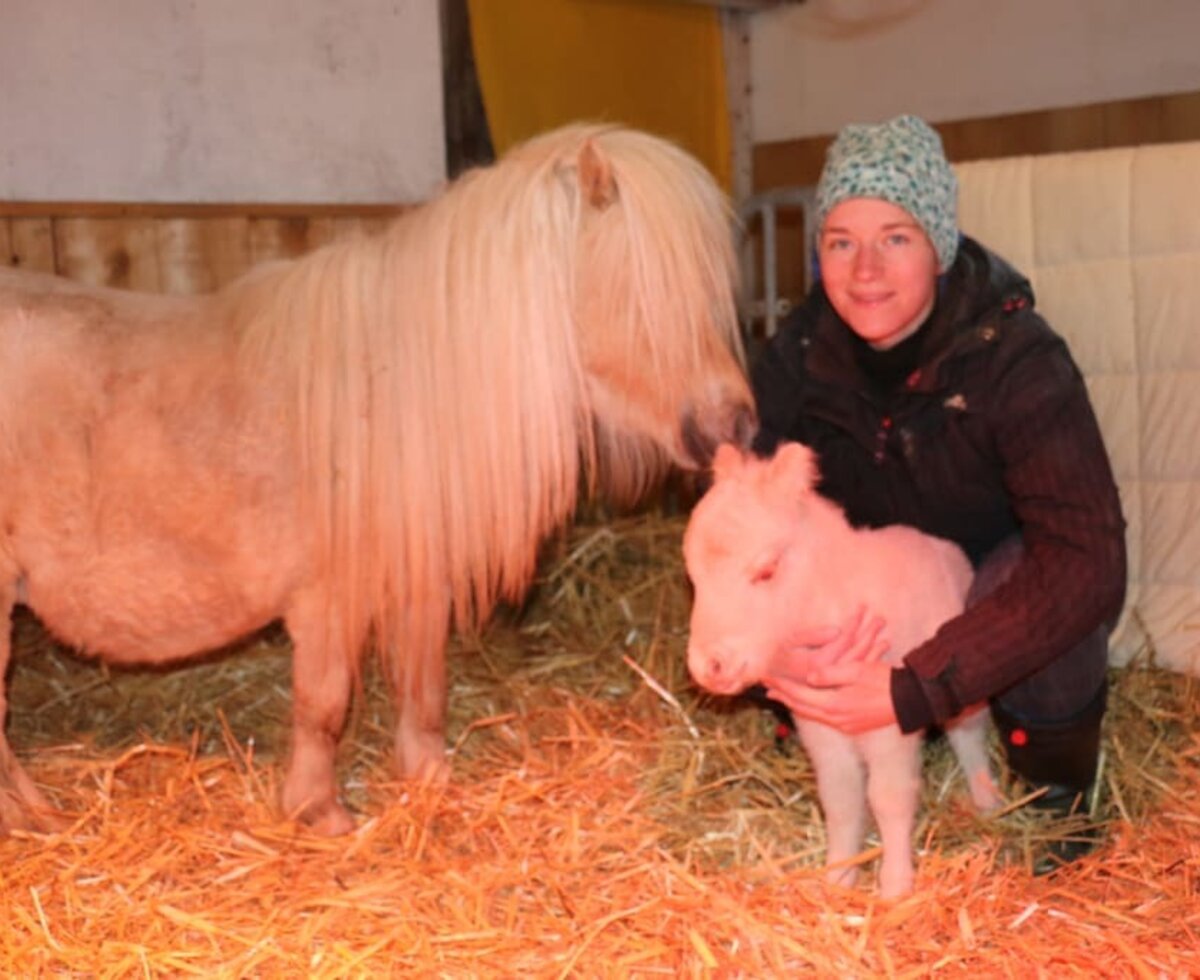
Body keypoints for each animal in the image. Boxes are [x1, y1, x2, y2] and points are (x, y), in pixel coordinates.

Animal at [0, 122, 748, 834]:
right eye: (650, 291)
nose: (735, 425)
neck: (389, 388)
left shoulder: (418, 578)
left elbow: (423, 686)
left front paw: (429, 780)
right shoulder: (328, 596)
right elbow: (324, 702)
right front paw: (317, 811)